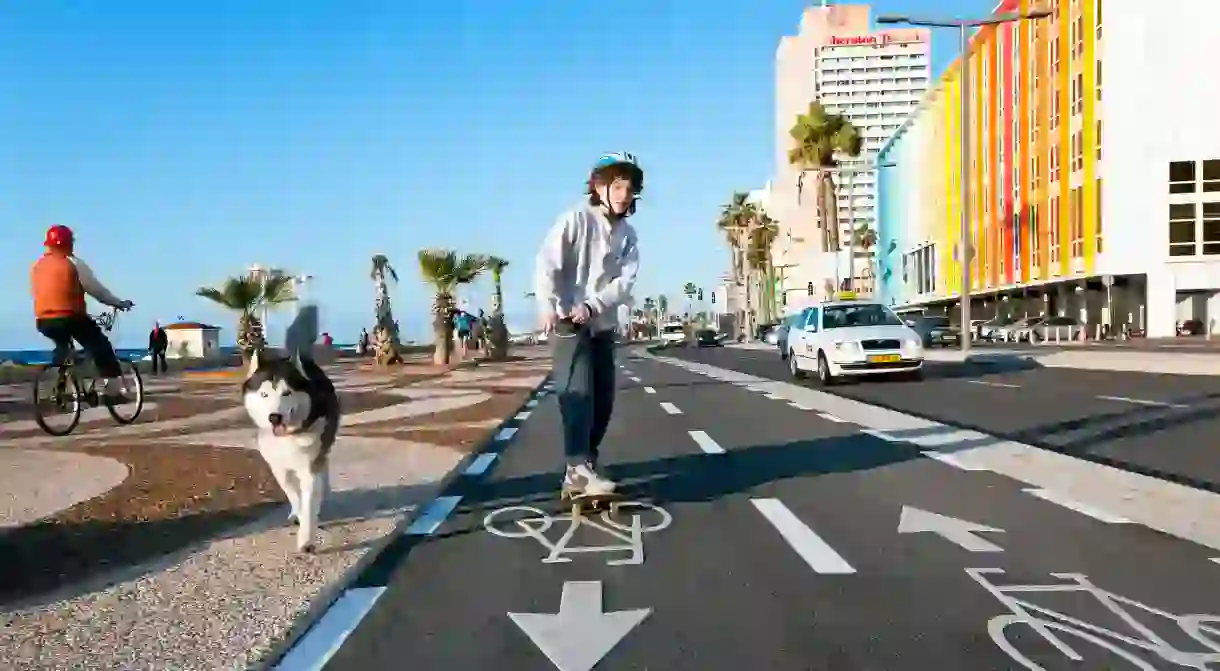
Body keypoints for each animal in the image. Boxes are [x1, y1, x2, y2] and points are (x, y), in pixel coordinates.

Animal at [241, 348, 341, 553]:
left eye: (287, 393)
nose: (274, 417)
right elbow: (293, 493)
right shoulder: (279, 468)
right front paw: (299, 514)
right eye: (264, 394)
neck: (289, 436)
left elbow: (309, 500)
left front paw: (306, 539)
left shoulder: (310, 468)